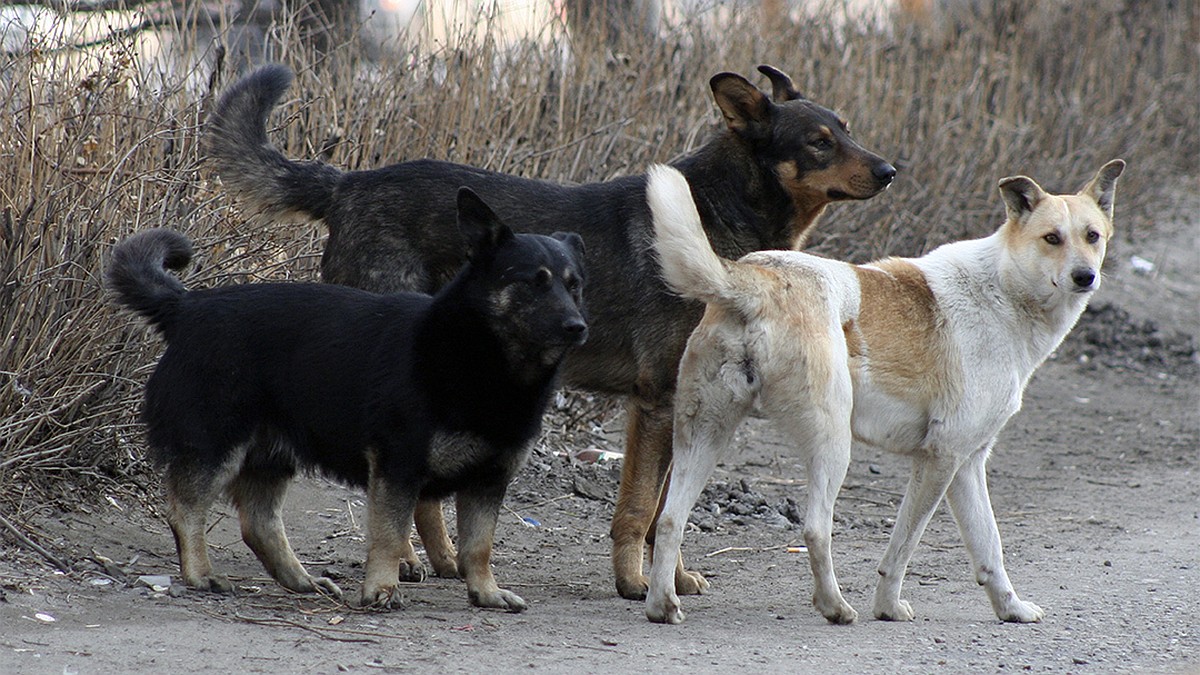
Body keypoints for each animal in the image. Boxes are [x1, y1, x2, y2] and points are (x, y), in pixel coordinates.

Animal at [108, 186, 585, 607]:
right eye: (534, 282)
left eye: (574, 284)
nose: (578, 327)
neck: (483, 359)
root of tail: (187, 307)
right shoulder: (397, 469)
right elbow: (391, 536)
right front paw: (382, 589)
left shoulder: (489, 481)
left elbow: (479, 547)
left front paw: (485, 592)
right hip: (216, 446)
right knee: (185, 510)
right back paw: (201, 574)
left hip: (270, 455)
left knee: (258, 524)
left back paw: (300, 580)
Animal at [206, 64, 897, 598]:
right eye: (819, 143)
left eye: (846, 131)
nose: (890, 170)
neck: (717, 212)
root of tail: (349, 184)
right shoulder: (657, 403)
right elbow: (638, 509)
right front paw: (635, 583)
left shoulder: (683, 407)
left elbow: (665, 511)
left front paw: (674, 576)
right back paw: (404, 561)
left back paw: (443, 561)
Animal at [648, 159, 1123, 624]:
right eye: (1051, 238)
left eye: (1092, 236)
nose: (1085, 277)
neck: (1004, 291)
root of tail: (756, 277)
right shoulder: (940, 459)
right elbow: (903, 546)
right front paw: (889, 608)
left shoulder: (967, 464)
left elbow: (989, 545)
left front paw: (1011, 609)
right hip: (832, 445)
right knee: (815, 529)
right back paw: (836, 607)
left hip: (704, 437)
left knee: (670, 520)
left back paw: (661, 605)